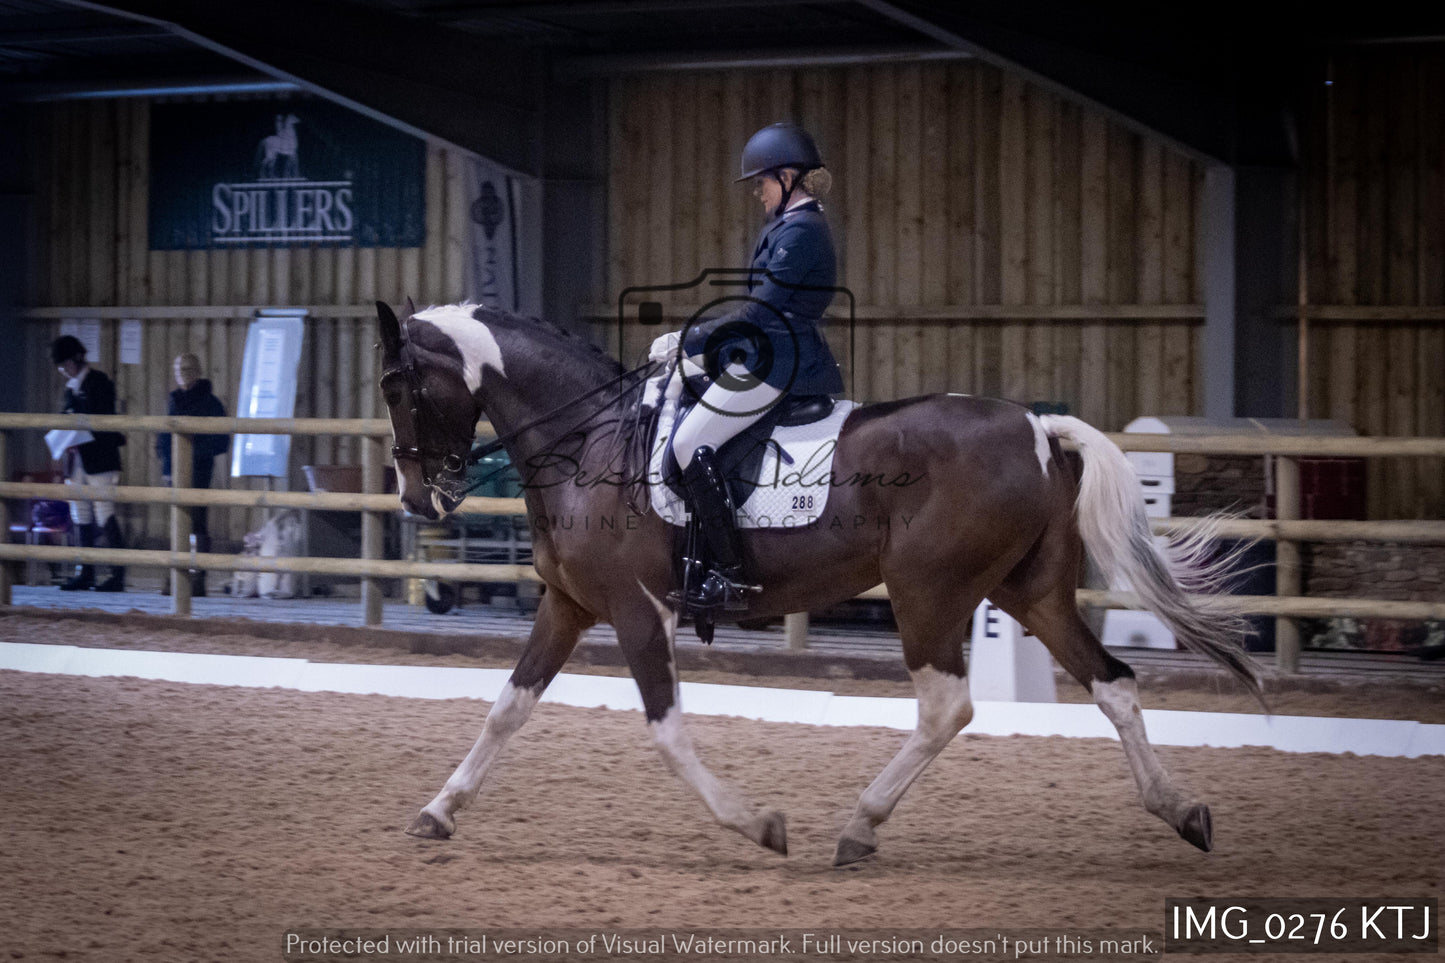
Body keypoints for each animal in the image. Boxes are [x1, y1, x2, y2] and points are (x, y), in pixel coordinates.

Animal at [375, 297, 1265, 861]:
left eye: (396, 387)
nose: (420, 497)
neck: (586, 437)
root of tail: (1039, 428)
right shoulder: (566, 604)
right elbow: (506, 708)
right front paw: (437, 811)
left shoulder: (636, 609)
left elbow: (665, 730)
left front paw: (757, 823)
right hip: (1027, 591)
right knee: (1112, 683)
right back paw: (1181, 810)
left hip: (927, 592)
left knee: (947, 705)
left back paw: (860, 825)